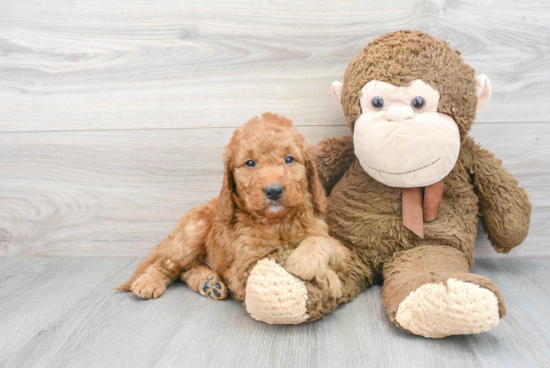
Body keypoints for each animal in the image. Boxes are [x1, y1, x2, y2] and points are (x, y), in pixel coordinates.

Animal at [118, 113, 352, 302]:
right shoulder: (246, 265)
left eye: (289, 159)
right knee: (167, 264)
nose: (274, 191)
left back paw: (209, 282)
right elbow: (279, 254)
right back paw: (148, 282)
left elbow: (325, 242)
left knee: (186, 270)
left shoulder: (336, 246)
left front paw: (310, 263)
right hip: (191, 234)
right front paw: (326, 277)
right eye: (250, 163)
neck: (278, 222)